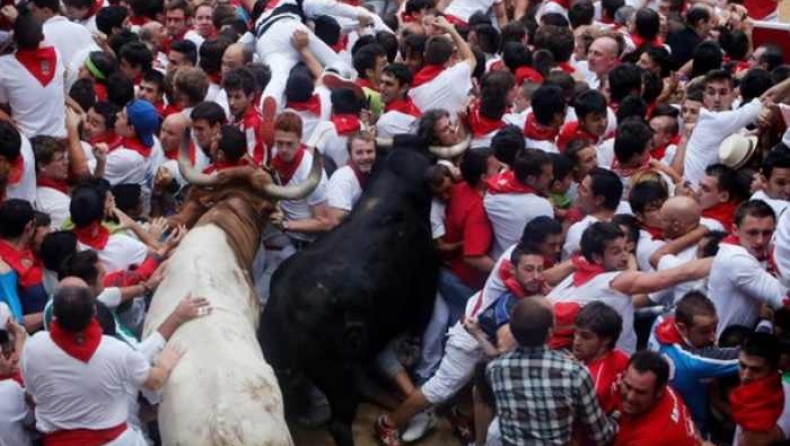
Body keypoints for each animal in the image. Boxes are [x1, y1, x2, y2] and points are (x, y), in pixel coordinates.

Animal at [262, 145, 442, 442]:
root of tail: (281, 313)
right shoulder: (427, 276)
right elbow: (421, 318)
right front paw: (410, 350)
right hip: (339, 378)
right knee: (341, 421)